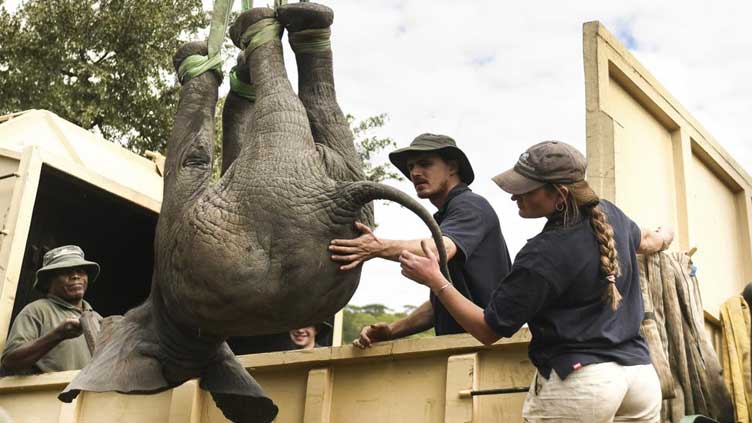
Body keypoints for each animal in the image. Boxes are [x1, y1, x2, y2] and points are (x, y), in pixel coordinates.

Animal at [58, 4, 452, 423]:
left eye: (109, 326)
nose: (92, 314)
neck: (184, 332)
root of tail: (337, 197)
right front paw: (233, 65)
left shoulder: (175, 231)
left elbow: (191, 157)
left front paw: (202, 59)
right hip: (312, 168)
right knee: (316, 111)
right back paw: (302, 22)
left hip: (277, 169)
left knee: (281, 106)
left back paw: (259, 26)